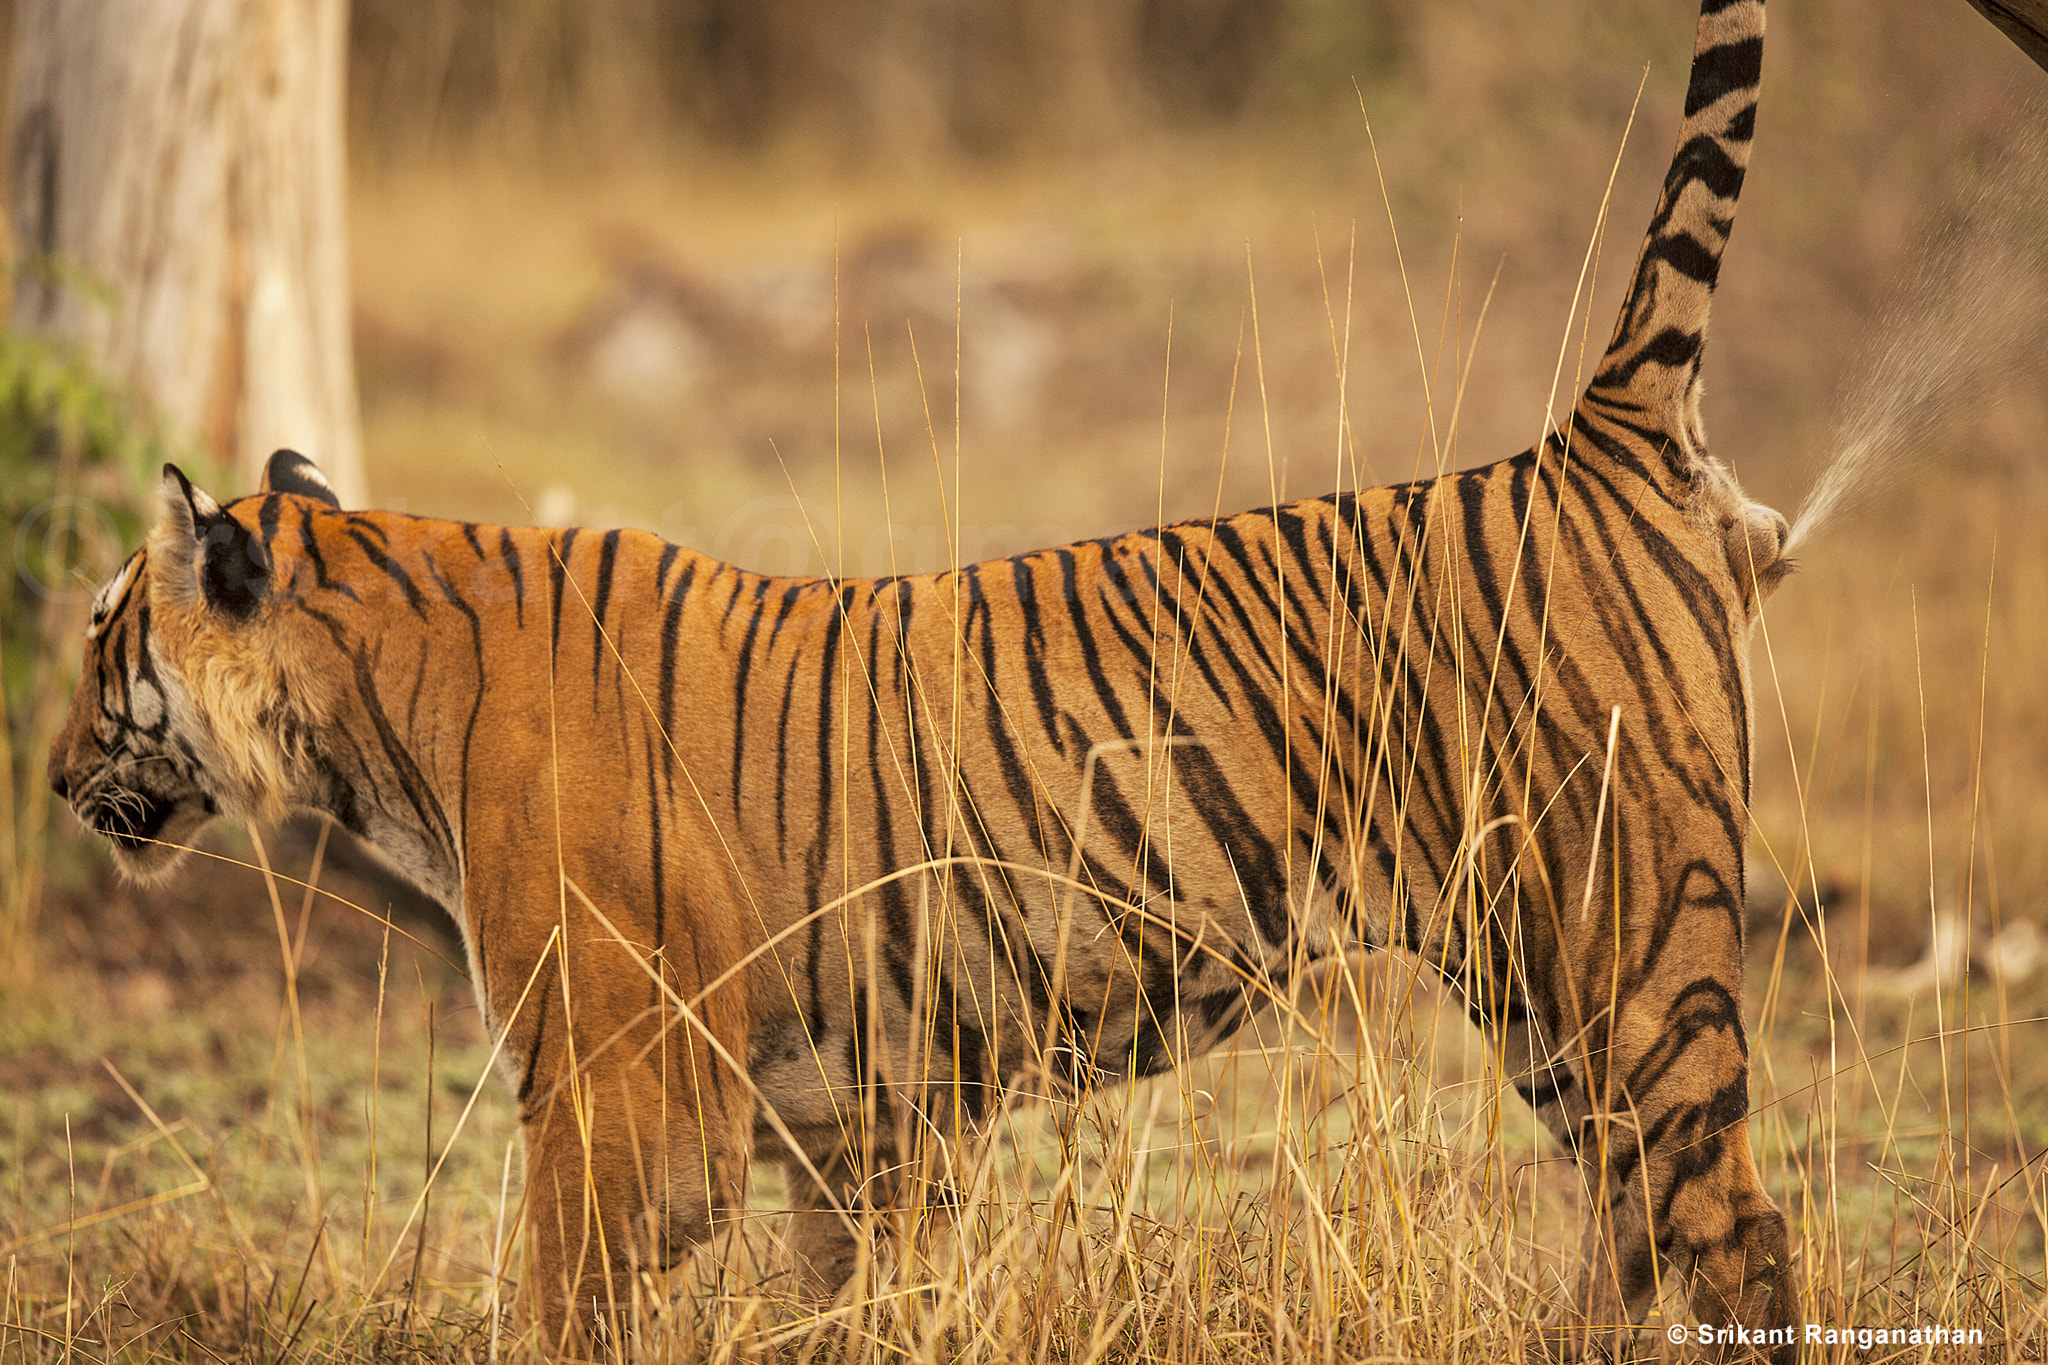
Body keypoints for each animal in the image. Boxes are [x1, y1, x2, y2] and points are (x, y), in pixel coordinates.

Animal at [49, 0, 1799, 1356]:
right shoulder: (845, 1121)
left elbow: (560, 1310)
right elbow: (842, 1305)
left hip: (1635, 942)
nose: (57, 774)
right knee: (1638, 1216)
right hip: (1536, 983)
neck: (373, 711)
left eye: (96, 637)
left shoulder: (617, 1094)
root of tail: (1590, 438)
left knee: (1738, 1228)